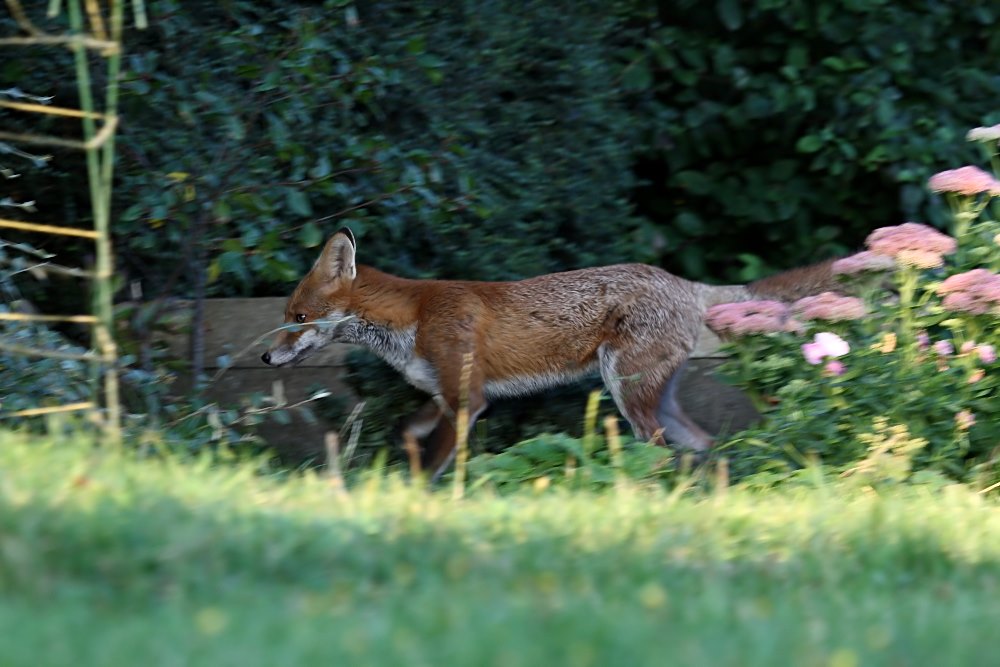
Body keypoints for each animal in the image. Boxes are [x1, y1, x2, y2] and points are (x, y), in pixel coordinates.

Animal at [262, 228, 840, 479]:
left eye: (297, 319)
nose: (267, 361)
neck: (415, 318)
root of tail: (684, 283)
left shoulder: (468, 399)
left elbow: (430, 465)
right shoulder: (445, 395)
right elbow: (409, 432)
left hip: (627, 392)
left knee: (656, 449)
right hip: (656, 398)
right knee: (701, 444)